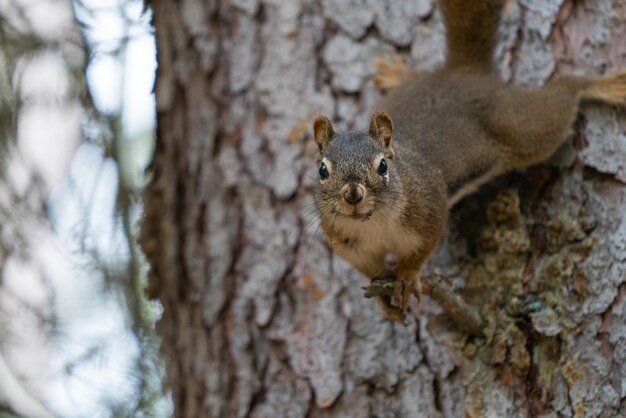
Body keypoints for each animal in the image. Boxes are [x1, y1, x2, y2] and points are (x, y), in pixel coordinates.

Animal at [310, 0, 624, 322]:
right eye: (322, 170)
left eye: (383, 166)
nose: (352, 194)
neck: (374, 225)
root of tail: (463, 71)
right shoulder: (346, 244)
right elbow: (370, 271)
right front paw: (383, 296)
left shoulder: (430, 208)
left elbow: (422, 250)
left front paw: (407, 277)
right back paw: (397, 73)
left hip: (525, 128)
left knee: (564, 94)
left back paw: (601, 85)